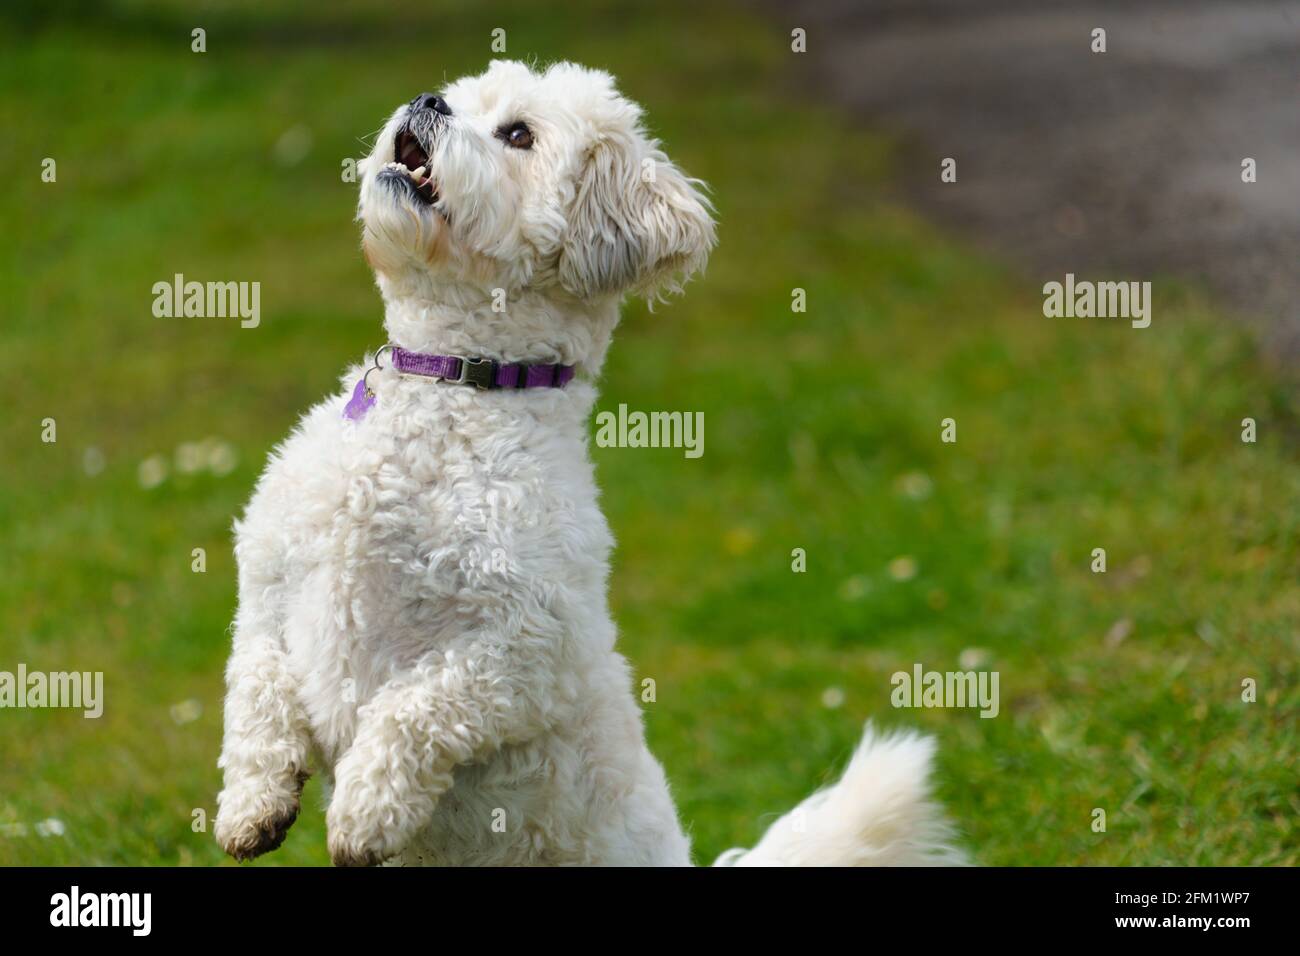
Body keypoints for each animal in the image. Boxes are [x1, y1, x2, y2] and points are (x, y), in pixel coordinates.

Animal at [213, 59, 967, 868]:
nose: (427, 100)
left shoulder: (531, 650)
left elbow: (414, 706)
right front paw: (253, 804)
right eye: (460, 95)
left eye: (518, 135)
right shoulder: (265, 593)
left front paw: (364, 811)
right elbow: (255, 691)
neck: (452, 386)